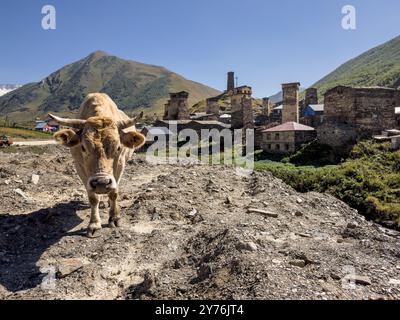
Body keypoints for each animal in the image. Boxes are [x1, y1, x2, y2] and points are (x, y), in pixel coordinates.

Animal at [48, 92, 145, 235]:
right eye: (83, 147)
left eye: (118, 147)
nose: (101, 183)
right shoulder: (80, 168)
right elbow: (93, 198)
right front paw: (94, 224)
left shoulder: (120, 165)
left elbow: (114, 193)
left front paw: (114, 218)